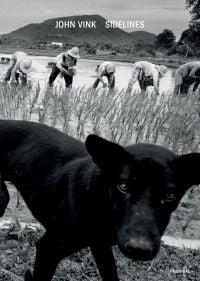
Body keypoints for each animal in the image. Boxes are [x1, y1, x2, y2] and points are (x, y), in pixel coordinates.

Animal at [0, 118, 200, 280]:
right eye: (123, 186)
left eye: (169, 195)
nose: (139, 249)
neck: (103, 202)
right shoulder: (48, 248)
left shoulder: (101, 247)